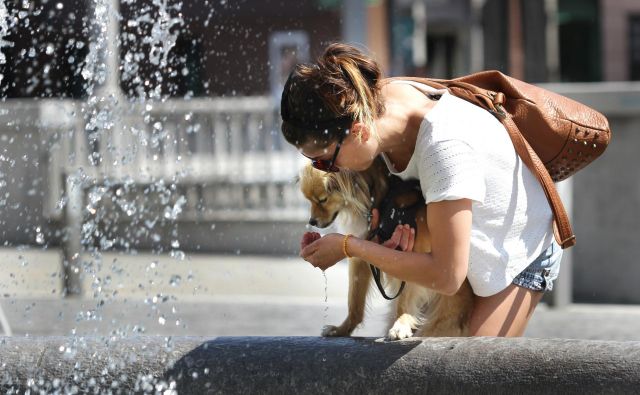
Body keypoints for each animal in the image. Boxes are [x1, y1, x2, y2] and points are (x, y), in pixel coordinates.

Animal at [298, 158, 472, 340]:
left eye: (322, 200)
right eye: (309, 200)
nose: (311, 221)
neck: (380, 199)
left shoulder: (412, 256)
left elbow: (403, 301)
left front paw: (401, 325)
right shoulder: (361, 256)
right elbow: (354, 302)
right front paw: (341, 330)